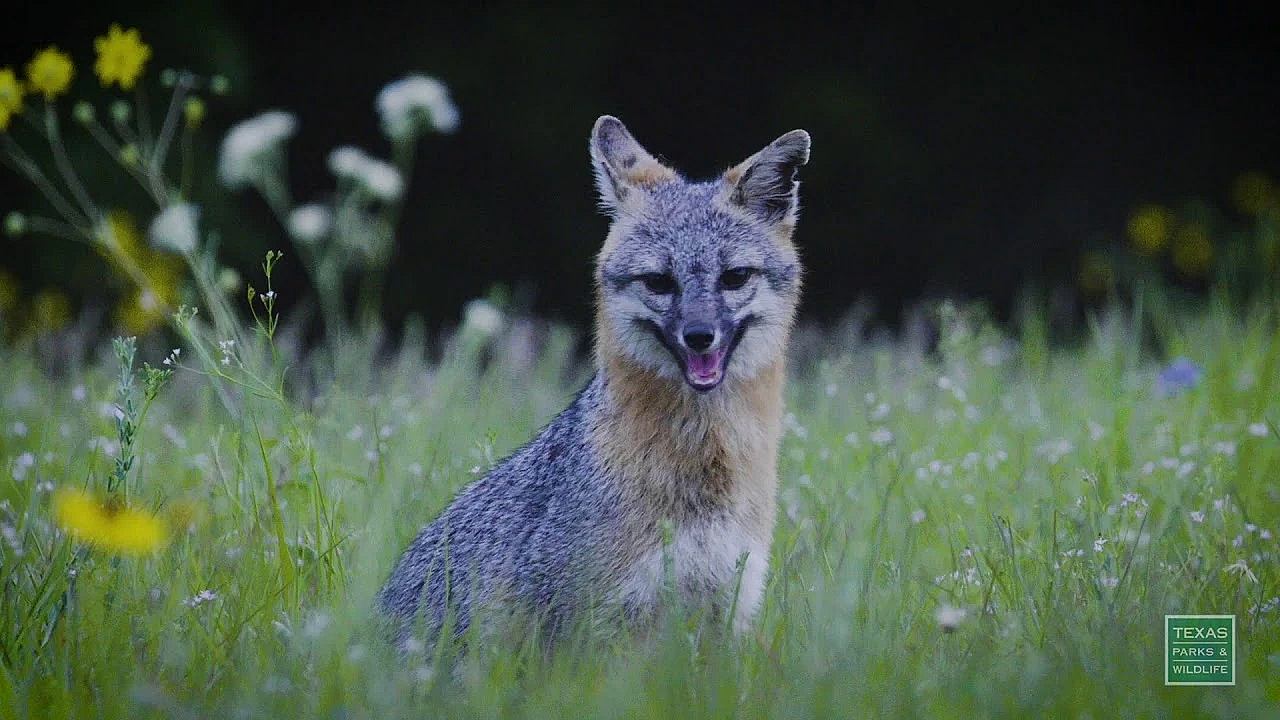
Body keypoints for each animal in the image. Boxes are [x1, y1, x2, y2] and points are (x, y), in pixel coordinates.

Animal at [379, 116, 810, 645]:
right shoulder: (596, 624)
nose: (699, 336)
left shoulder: (728, 608)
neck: (703, 469)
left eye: (734, 277)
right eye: (659, 282)